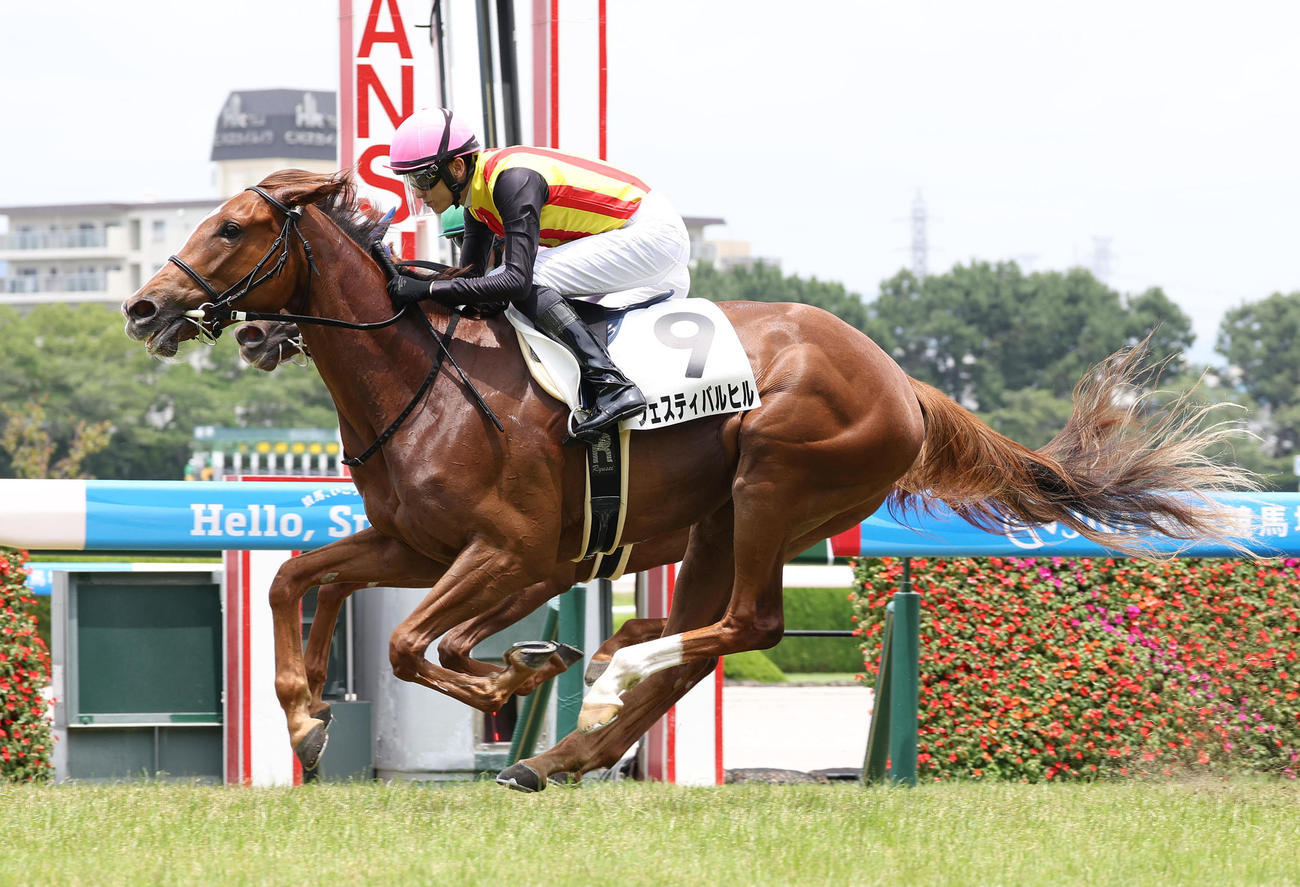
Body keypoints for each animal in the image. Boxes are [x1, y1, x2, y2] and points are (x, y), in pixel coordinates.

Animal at [124, 169, 1252, 791]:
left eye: (229, 227)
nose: (143, 307)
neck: (426, 375)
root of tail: (901, 379)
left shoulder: (514, 550)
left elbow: (415, 643)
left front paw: (515, 674)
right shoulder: (417, 542)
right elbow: (297, 579)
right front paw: (307, 713)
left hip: (774, 488)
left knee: (743, 625)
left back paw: (600, 679)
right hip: (718, 525)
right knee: (700, 641)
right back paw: (563, 745)